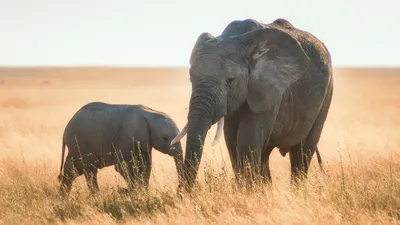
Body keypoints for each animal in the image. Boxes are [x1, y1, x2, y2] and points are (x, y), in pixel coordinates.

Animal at [56, 102, 184, 197]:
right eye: (164, 138)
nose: (179, 192)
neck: (149, 113)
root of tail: (66, 129)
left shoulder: (144, 141)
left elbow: (146, 165)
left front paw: (142, 193)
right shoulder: (125, 139)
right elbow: (123, 166)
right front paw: (133, 193)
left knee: (72, 170)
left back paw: (63, 198)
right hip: (79, 143)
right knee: (89, 170)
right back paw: (96, 197)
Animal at [171, 18, 332, 189]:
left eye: (230, 80)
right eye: (191, 78)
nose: (182, 193)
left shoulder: (268, 90)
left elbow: (247, 141)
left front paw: (248, 191)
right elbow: (232, 142)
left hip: (327, 93)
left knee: (302, 152)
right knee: (265, 155)